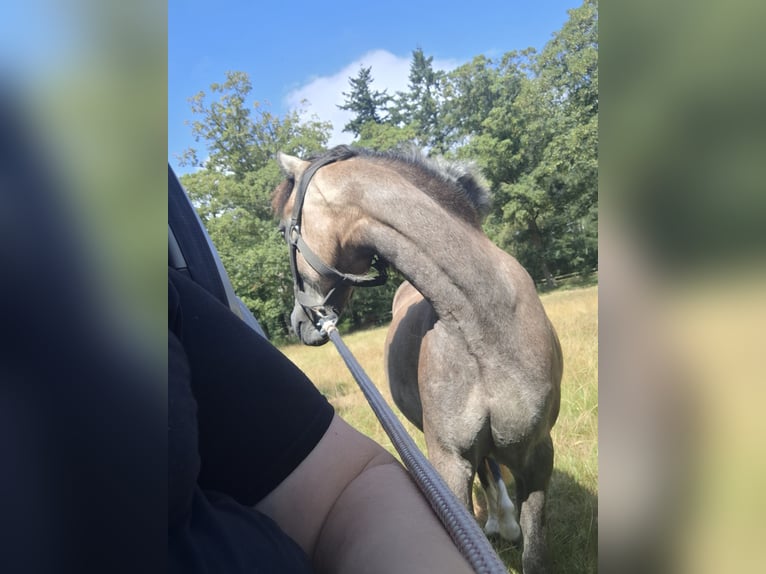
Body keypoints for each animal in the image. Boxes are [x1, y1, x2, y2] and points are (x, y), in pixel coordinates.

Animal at [271, 145, 563, 574]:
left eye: (283, 230)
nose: (297, 322)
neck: (485, 324)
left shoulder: (537, 456)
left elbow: (537, 553)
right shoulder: (448, 462)